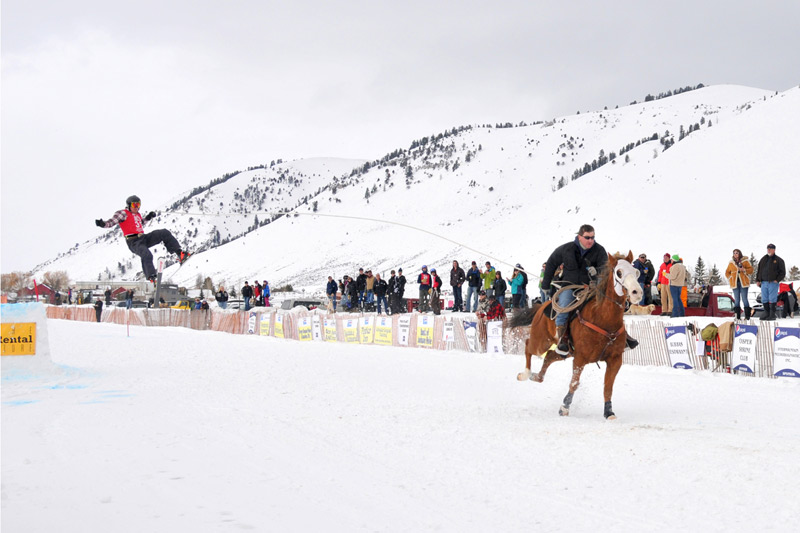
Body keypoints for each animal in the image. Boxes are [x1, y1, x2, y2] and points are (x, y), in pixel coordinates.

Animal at [512, 251, 644, 418]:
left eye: (636, 272)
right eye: (619, 273)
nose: (637, 292)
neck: (602, 318)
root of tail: (542, 305)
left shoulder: (615, 359)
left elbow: (608, 387)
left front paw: (608, 412)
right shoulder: (580, 358)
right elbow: (574, 383)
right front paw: (564, 407)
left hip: (566, 352)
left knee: (549, 356)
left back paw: (536, 376)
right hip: (541, 341)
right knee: (529, 345)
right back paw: (525, 374)